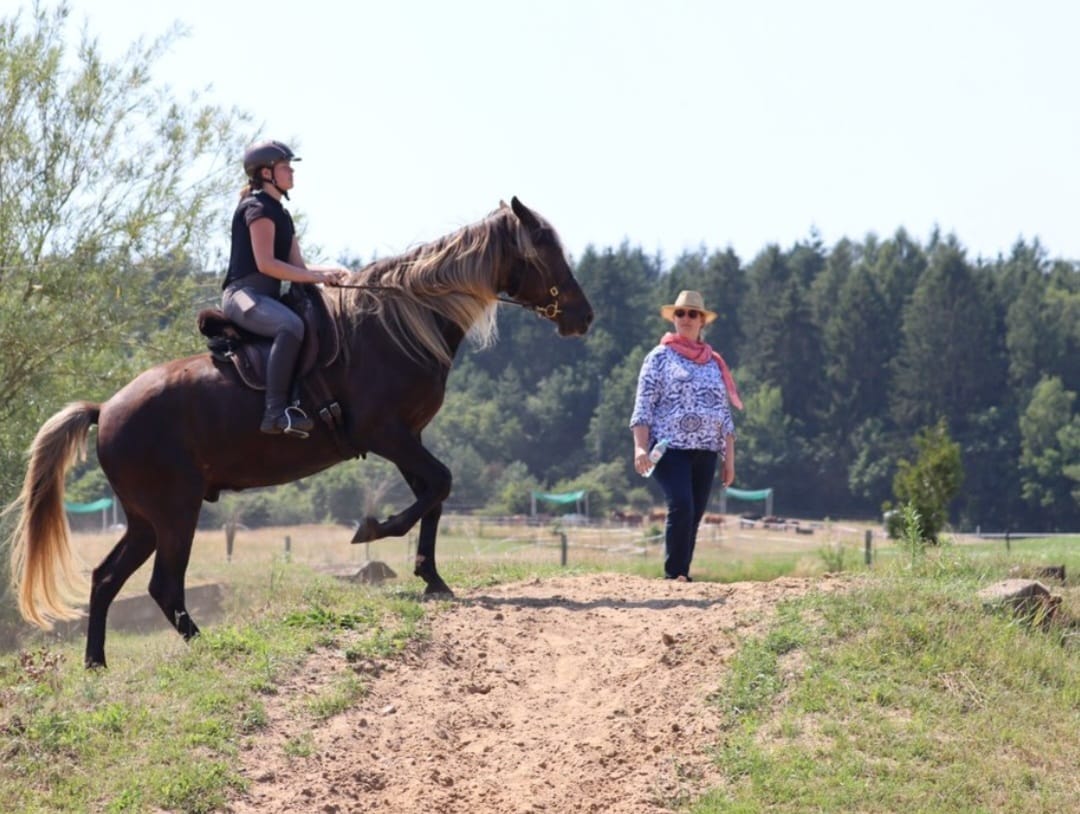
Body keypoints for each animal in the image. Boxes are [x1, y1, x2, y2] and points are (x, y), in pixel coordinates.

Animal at [6, 196, 591, 665]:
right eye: (544, 251)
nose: (583, 316)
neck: (394, 326)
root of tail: (107, 408)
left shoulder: (407, 438)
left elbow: (434, 493)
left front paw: (431, 576)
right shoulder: (387, 433)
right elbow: (438, 486)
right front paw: (373, 530)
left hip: (146, 519)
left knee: (107, 579)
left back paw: (96, 663)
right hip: (175, 512)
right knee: (164, 585)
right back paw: (209, 646)